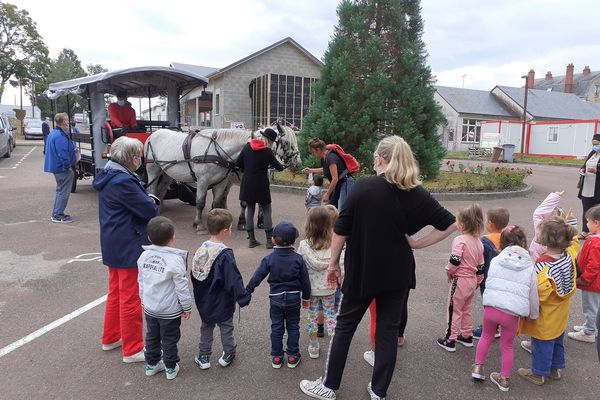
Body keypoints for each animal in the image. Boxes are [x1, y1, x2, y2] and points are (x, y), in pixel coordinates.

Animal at [144, 123, 302, 233]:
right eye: (286, 143)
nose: (298, 162)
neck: (217, 152)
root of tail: (153, 134)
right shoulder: (203, 181)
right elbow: (201, 203)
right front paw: (200, 225)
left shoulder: (222, 181)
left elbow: (218, 201)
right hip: (153, 170)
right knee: (152, 190)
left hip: (166, 174)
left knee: (161, 191)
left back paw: (160, 210)